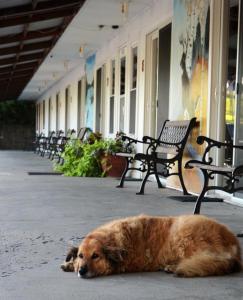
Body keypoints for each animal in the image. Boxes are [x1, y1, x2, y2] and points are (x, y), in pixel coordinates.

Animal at [60, 214, 241, 278]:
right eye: (81, 255)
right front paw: (70, 264)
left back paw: (173, 267)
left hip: (183, 232)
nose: (82, 271)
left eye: (95, 256)